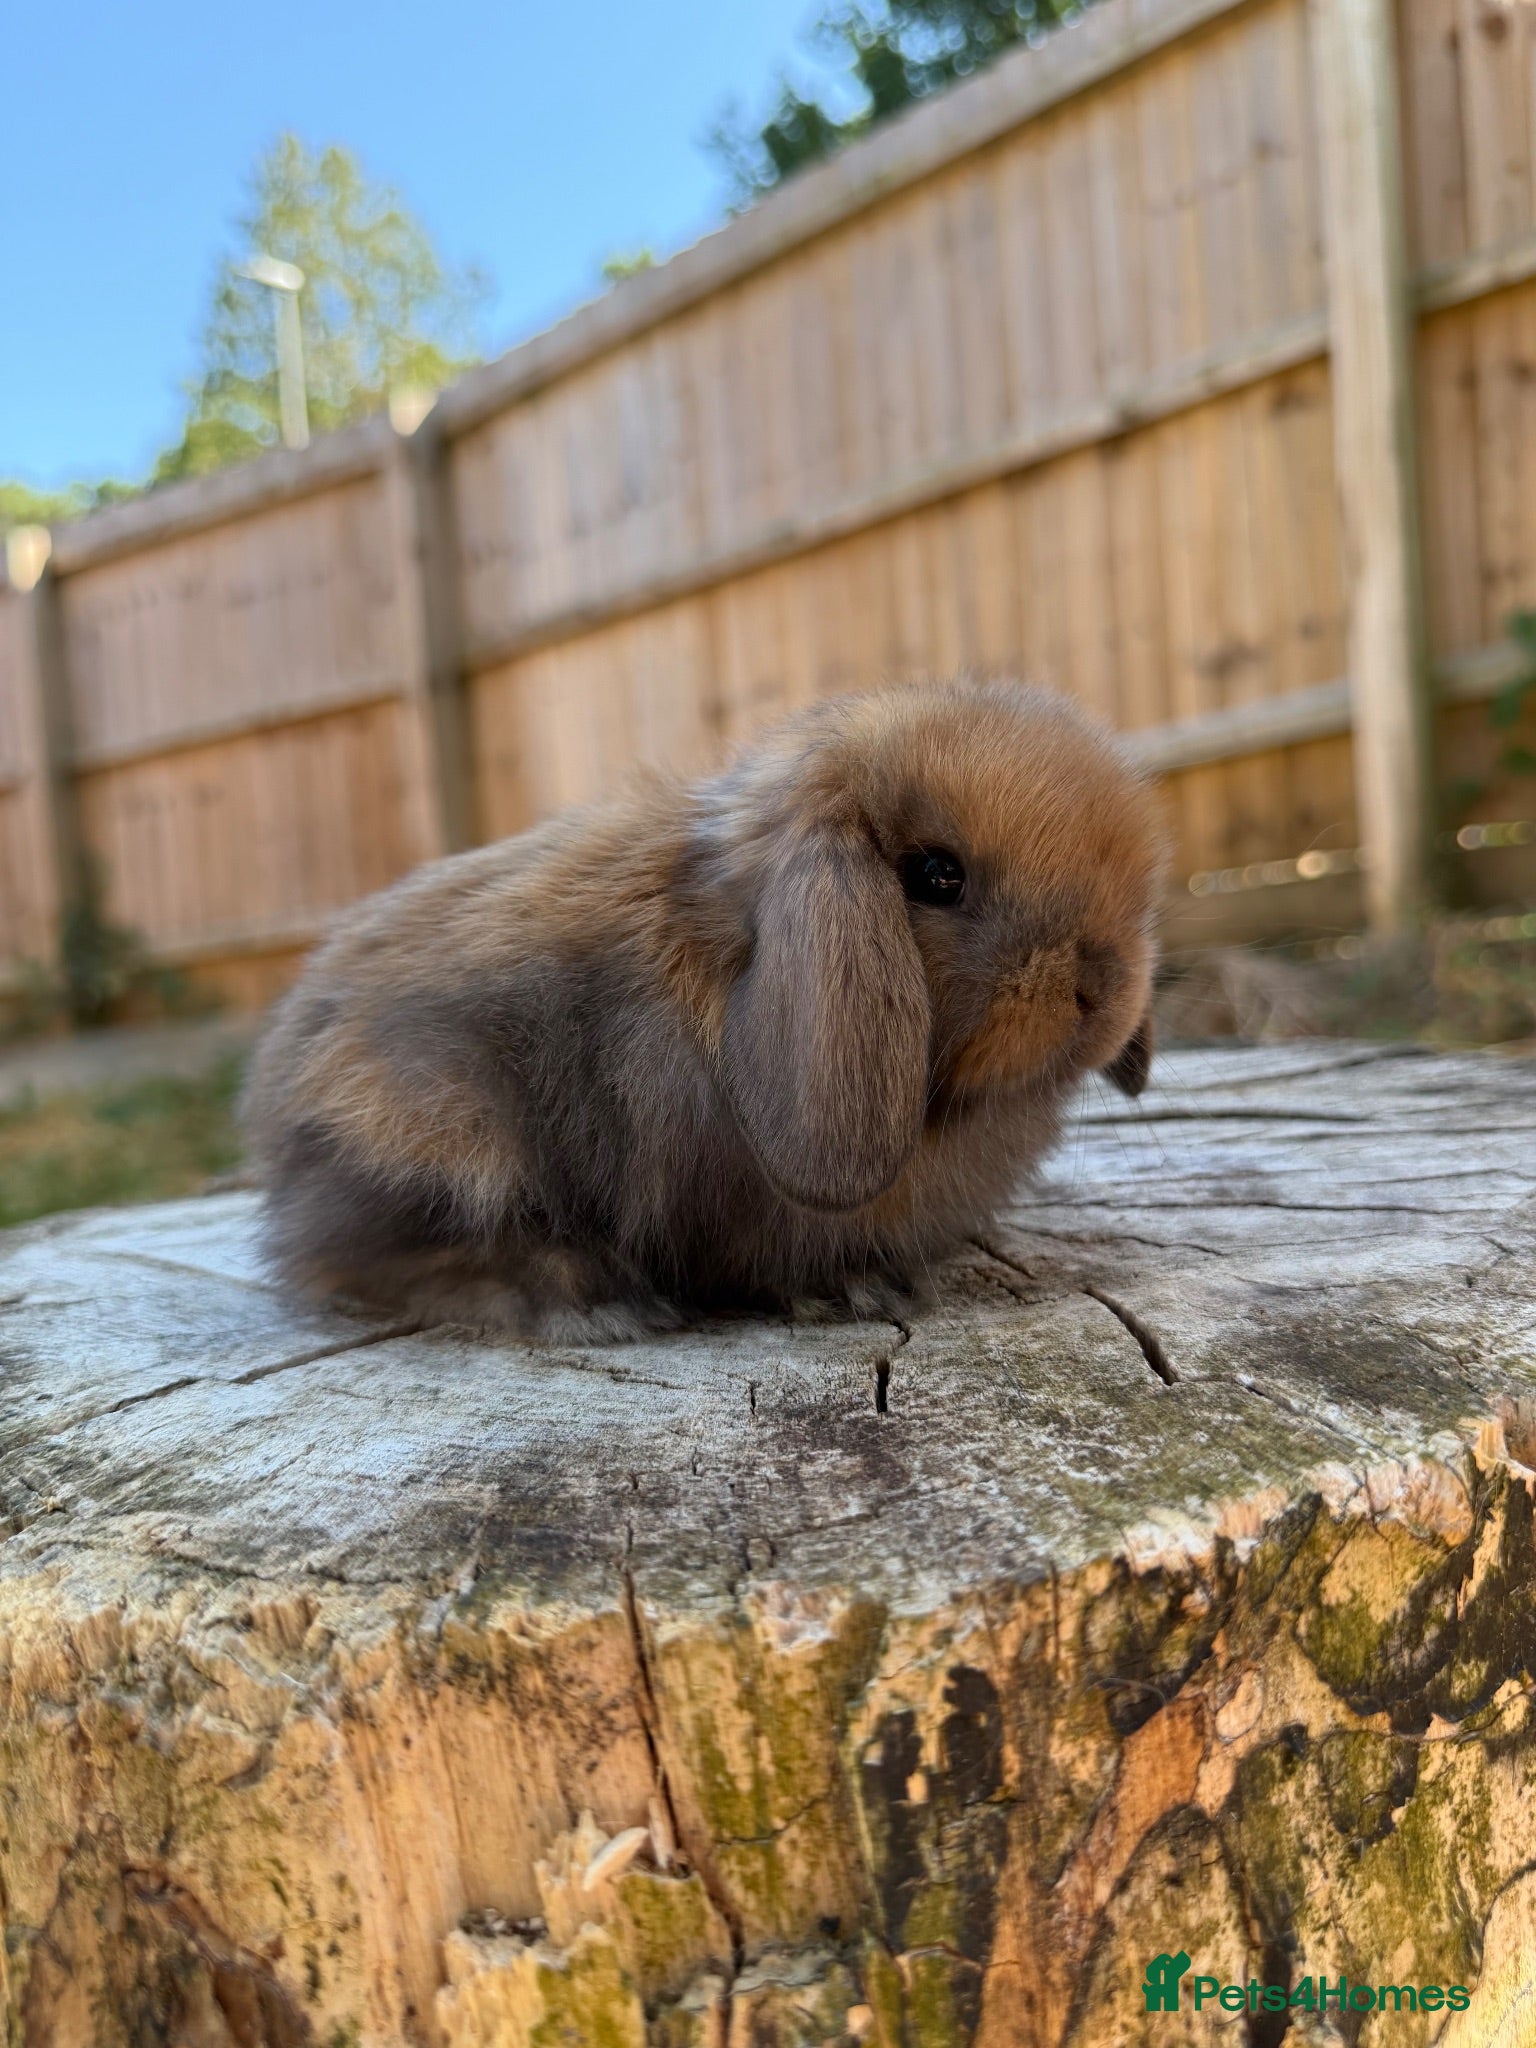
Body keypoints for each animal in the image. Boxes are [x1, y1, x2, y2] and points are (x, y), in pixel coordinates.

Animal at [243, 678, 1167, 1342]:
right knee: (372, 1262)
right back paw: (592, 1300)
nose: (1102, 986)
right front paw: (858, 1290)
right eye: (936, 875)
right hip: (440, 1135)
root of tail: (280, 1129)